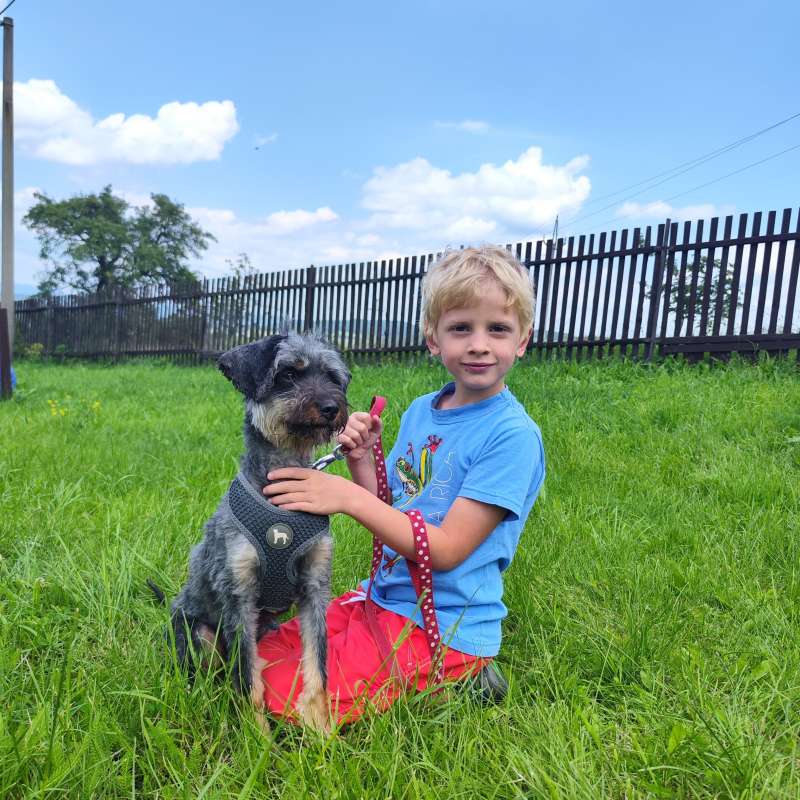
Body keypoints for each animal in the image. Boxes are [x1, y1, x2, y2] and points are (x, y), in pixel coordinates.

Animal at [165, 331, 350, 731]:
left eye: (332, 376)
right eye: (288, 375)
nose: (332, 407)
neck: (283, 496)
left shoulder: (315, 588)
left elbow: (317, 665)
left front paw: (321, 729)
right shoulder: (239, 596)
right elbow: (248, 678)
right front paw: (257, 736)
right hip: (200, 635)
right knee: (212, 673)